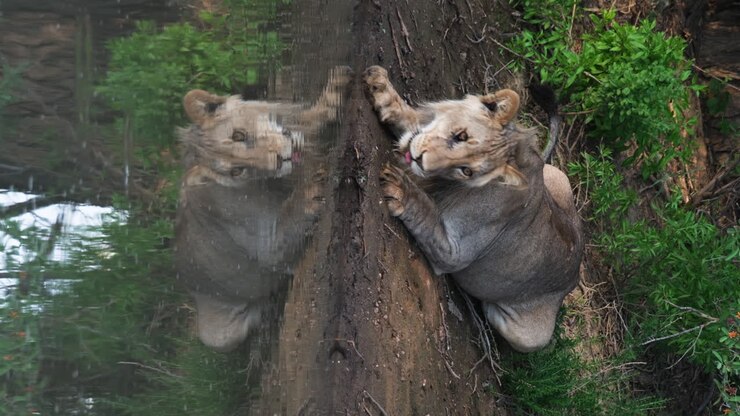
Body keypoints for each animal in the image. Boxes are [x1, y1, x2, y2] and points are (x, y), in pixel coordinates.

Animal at [175, 67, 349, 352]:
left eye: (239, 135)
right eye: (237, 171)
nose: (280, 160)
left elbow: (311, 116)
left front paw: (337, 85)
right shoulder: (266, 245)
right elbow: (290, 218)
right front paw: (311, 187)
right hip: (219, 337)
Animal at [365, 65, 583, 352]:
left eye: (466, 171)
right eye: (461, 136)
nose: (421, 162)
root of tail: (574, 277)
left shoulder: (455, 253)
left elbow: (426, 215)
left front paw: (401, 189)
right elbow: (411, 118)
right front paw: (381, 88)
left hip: (529, 338)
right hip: (558, 175)